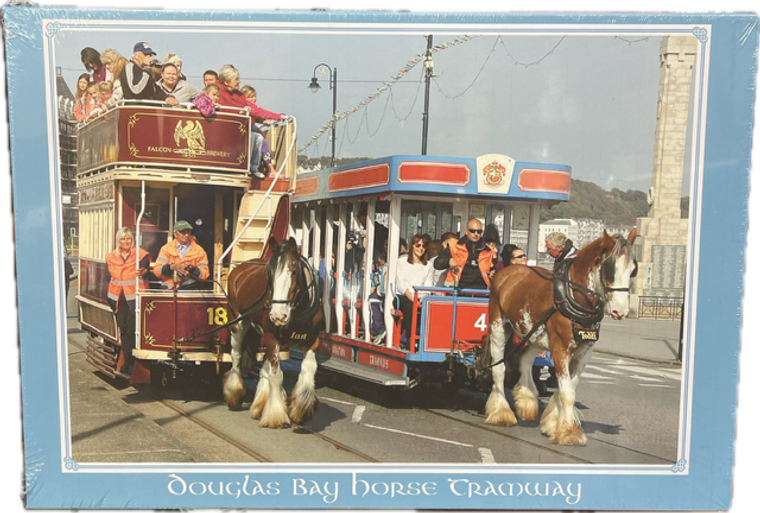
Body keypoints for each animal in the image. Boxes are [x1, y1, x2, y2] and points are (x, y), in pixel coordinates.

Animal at [223, 237, 324, 428]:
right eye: (269, 274)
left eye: (293, 271)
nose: (278, 315)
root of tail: (240, 268)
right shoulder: (272, 338)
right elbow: (277, 376)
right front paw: (276, 415)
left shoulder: (313, 341)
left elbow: (308, 368)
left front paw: (301, 410)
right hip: (238, 323)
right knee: (236, 356)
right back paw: (234, 392)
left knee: (264, 364)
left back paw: (260, 403)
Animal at [484, 230, 640, 446]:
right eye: (610, 269)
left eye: (633, 269)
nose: (621, 311)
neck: (574, 296)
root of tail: (508, 271)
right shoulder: (560, 349)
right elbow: (567, 393)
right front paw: (568, 432)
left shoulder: (583, 353)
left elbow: (569, 388)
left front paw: (553, 423)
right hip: (499, 326)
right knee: (498, 369)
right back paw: (501, 413)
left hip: (534, 334)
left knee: (524, 360)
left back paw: (527, 399)